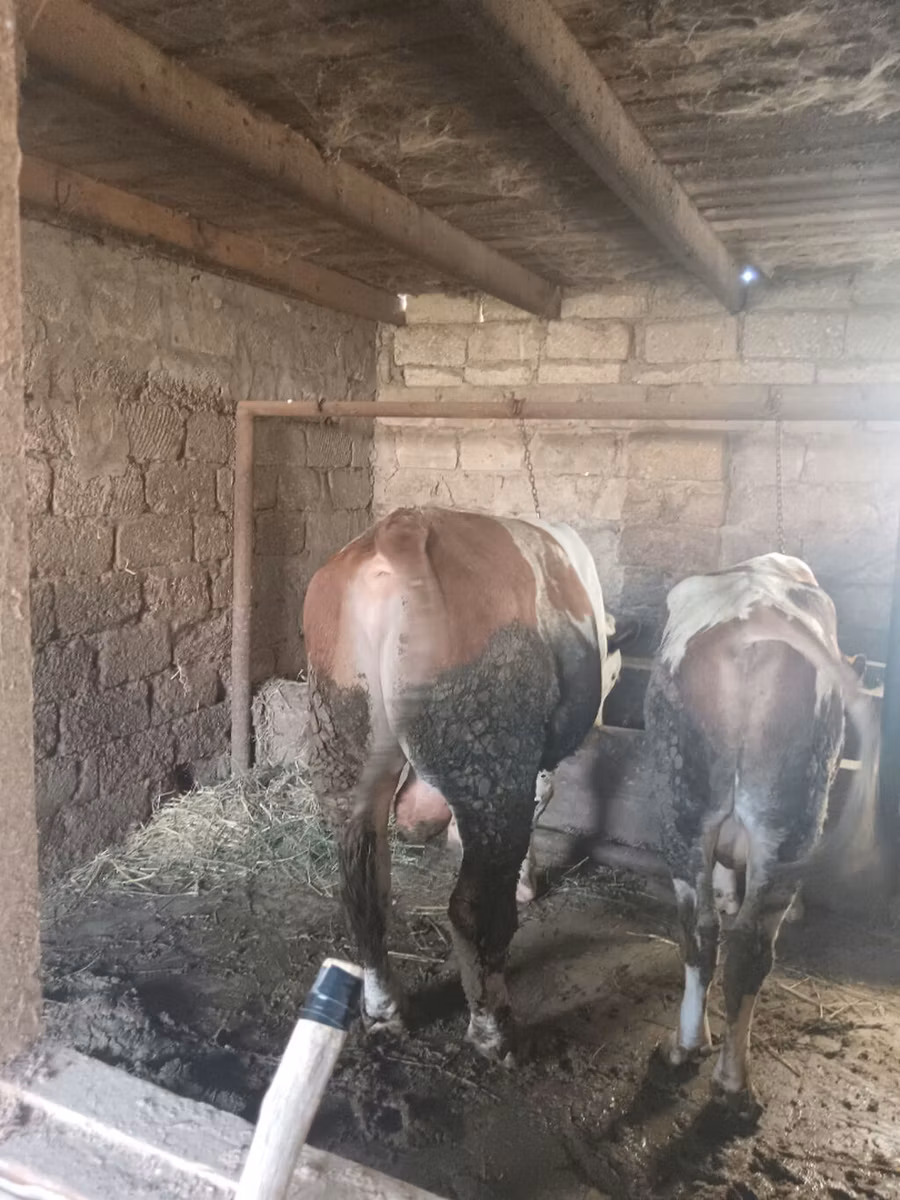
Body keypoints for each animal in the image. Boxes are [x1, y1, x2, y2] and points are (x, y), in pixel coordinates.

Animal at [303, 506, 625, 1060]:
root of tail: (400, 529)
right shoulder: (532, 758)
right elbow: (542, 799)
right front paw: (527, 883)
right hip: (490, 749)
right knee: (473, 907)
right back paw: (493, 1031)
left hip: (346, 736)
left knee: (364, 889)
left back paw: (386, 1011)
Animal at [644, 552, 879, 1114]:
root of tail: (753, 625)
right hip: (777, 818)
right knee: (735, 943)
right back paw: (720, 1072)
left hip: (694, 813)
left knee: (711, 935)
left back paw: (700, 1057)